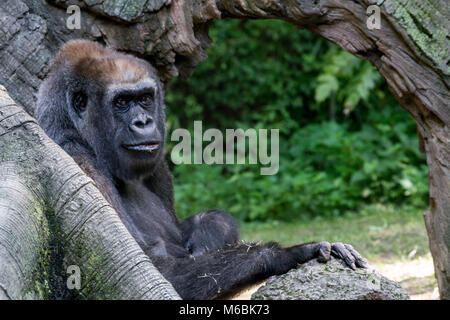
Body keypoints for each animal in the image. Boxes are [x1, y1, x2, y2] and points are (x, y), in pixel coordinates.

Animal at [34, 40, 366, 300]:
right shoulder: (77, 161)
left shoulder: (158, 166)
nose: (143, 122)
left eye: (144, 98)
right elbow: (155, 271)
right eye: (122, 102)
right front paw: (289, 254)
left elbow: (189, 227)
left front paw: (211, 231)